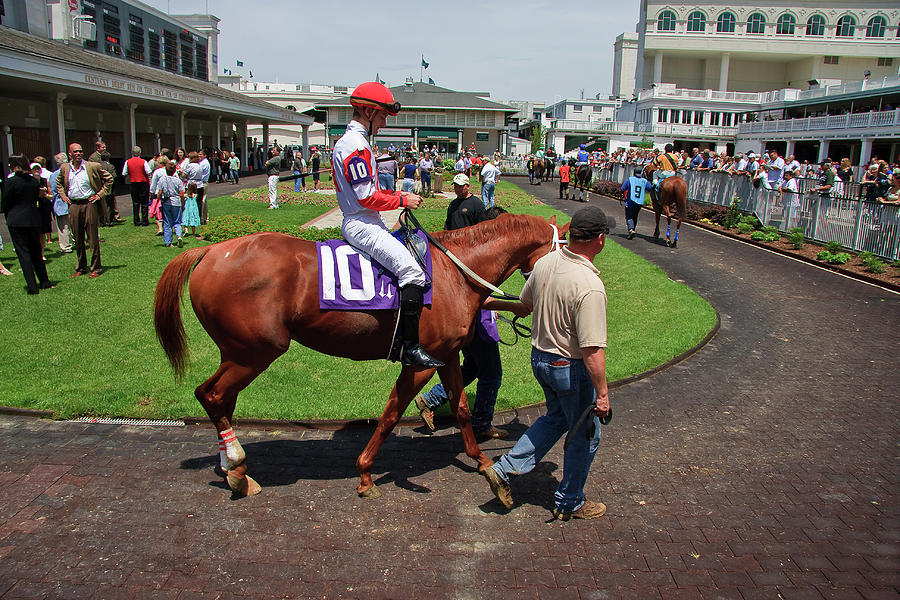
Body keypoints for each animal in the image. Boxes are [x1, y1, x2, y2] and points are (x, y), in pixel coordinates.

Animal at [151, 213, 568, 500]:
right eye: (566, 248)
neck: (456, 271)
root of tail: (211, 249)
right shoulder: (419, 362)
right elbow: (391, 414)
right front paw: (366, 474)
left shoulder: (446, 356)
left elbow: (462, 408)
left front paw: (481, 460)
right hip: (254, 352)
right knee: (212, 395)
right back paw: (237, 469)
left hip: (237, 353)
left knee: (219, 398)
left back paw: (230, 466)